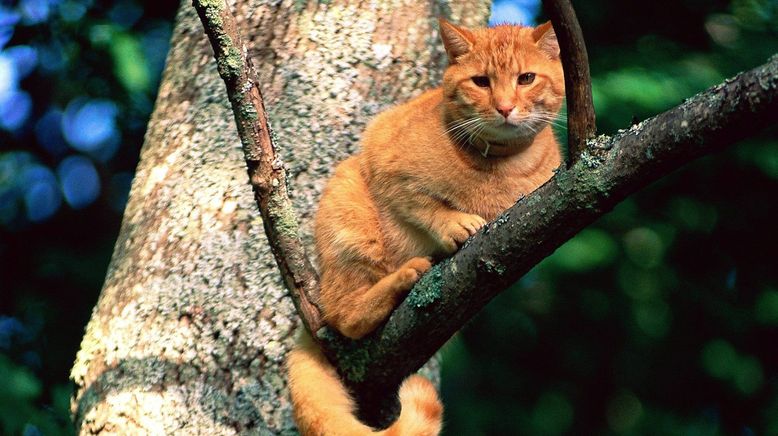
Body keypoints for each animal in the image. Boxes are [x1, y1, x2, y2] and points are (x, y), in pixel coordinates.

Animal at [284, 18, 564, 434]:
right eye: (481, 82)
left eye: (526, 78)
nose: (505, 107)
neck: (498, 167)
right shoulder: (386, 163)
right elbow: (424, 205)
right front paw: (455, 224)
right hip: (349, 214)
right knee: (343, 315)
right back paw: (405, 276)